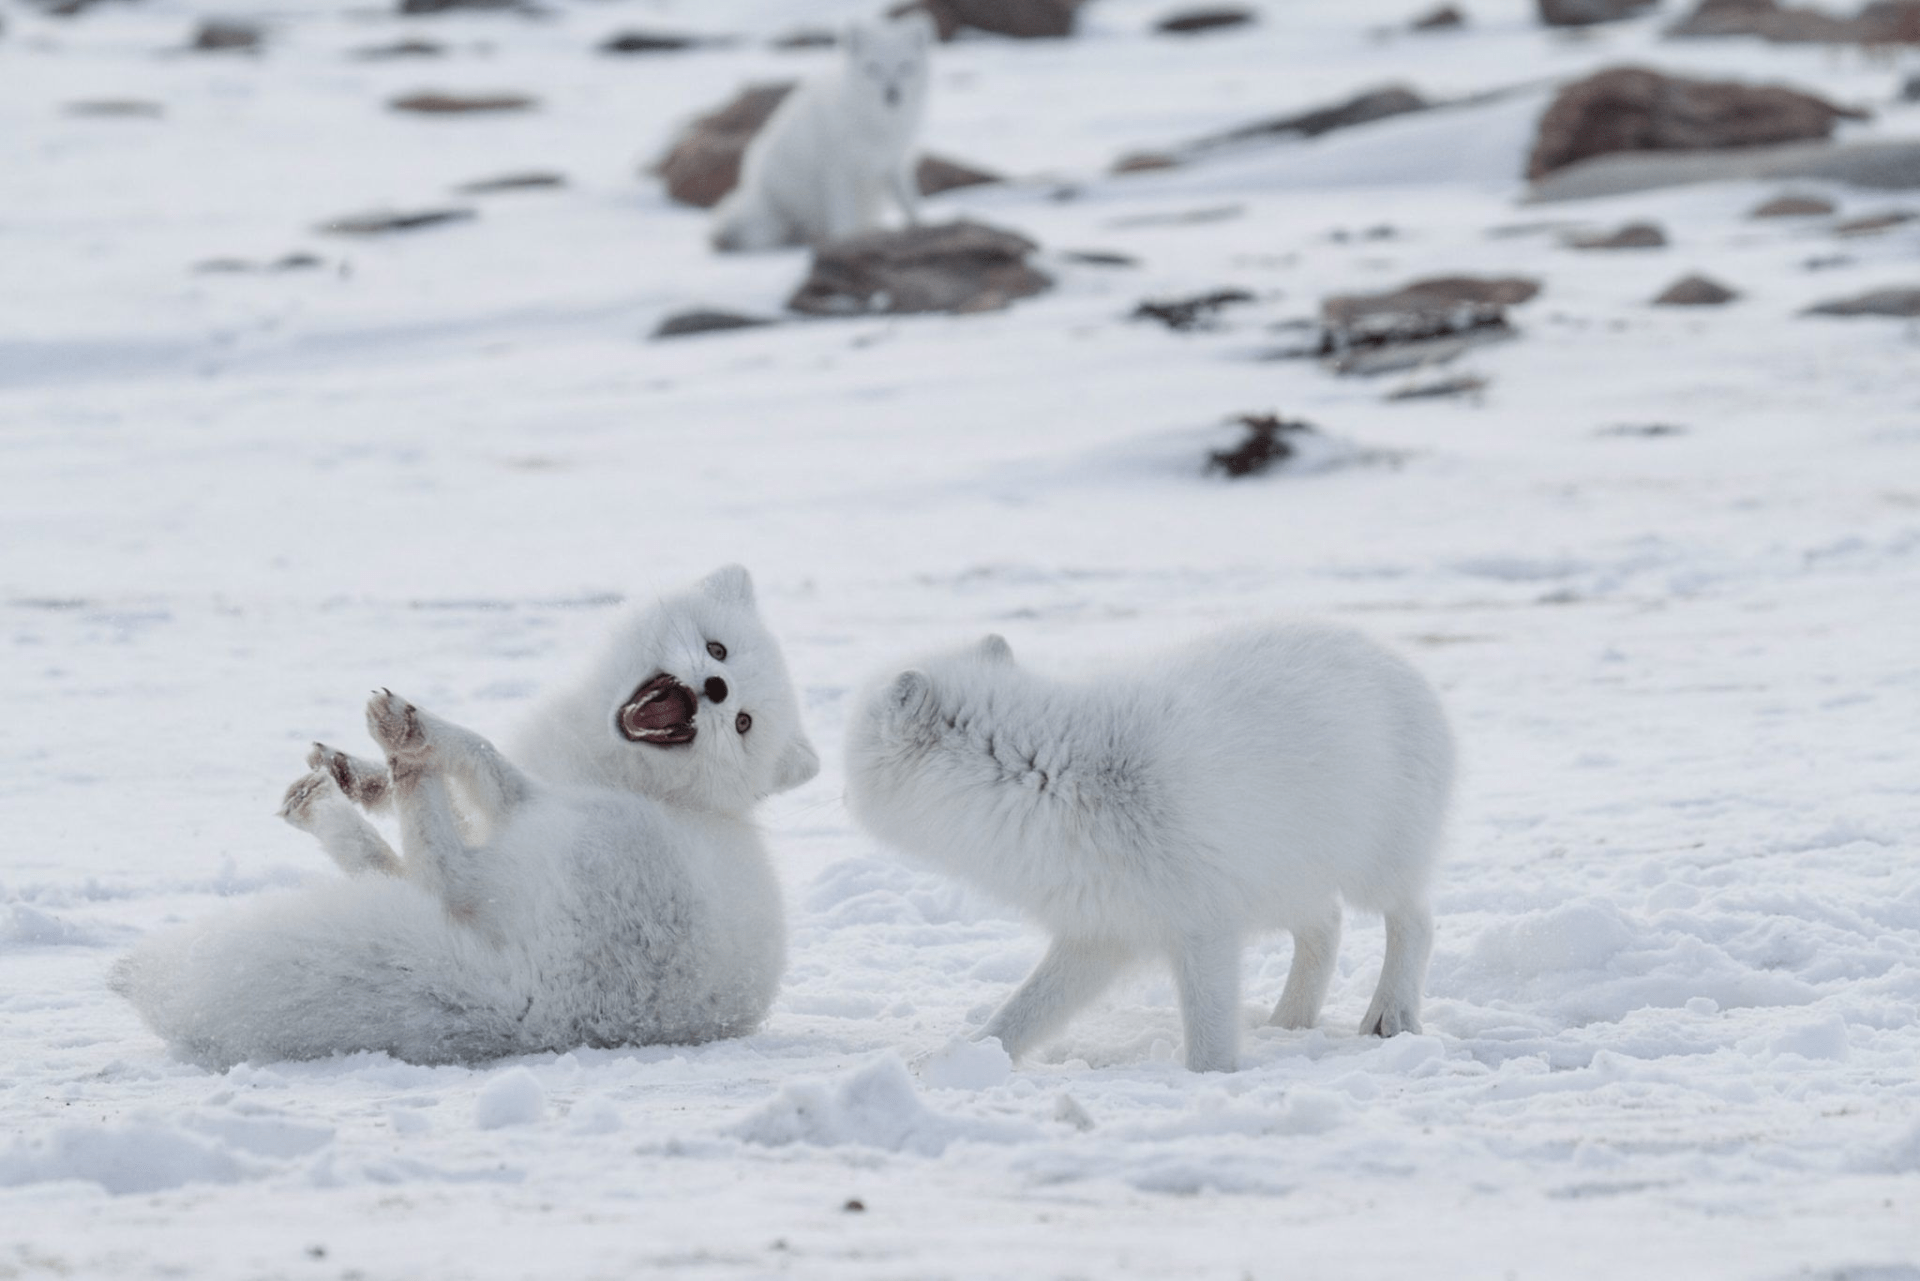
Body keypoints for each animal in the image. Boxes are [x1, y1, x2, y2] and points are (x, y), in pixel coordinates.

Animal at [110, 564, 817, 1067]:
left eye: (743, 724)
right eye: (718, 649)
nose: (716, 690)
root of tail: (536, 1013)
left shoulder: (524, 794)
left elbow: (479, 752)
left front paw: (412, 739)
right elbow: (451, 799)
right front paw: (361, 775)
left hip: (572, 830)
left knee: (439, 870)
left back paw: (396, 749)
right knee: (407, 875)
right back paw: (340, 791)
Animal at [714, 13, 936, 251]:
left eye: (905, 66)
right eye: (873, 68)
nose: (892, 93)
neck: (878, 125)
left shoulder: (895, 163)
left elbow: (910, 202)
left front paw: (920, 228)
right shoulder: (837, 170)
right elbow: (843, 218)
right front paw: (847, 241)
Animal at [844, 622, 1451, 1075]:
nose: (841, 792)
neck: (1054, 778)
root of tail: (1401, 664)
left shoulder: (1203, 924)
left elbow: (1207, 1033)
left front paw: (1213, 1081)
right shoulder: (1100, 929)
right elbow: (1023, 1011)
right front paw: (960, 1059)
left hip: (1373, 869)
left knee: (1416, 921)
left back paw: (1390, 1014)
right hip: (1285, 880)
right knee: (1326, 928)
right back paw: (1288, 1022)